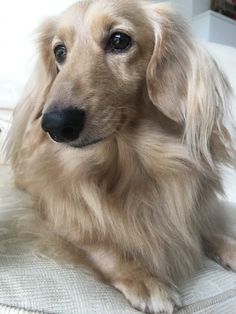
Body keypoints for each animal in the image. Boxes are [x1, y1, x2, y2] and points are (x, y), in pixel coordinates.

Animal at [5, 0, 236, 312]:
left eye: (119, 40)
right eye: (60, 51)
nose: (55, 125)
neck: (128, 160)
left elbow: (200, 227)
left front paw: (226, 245)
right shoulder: (46, 204)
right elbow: (95, 239)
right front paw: (142, 276)